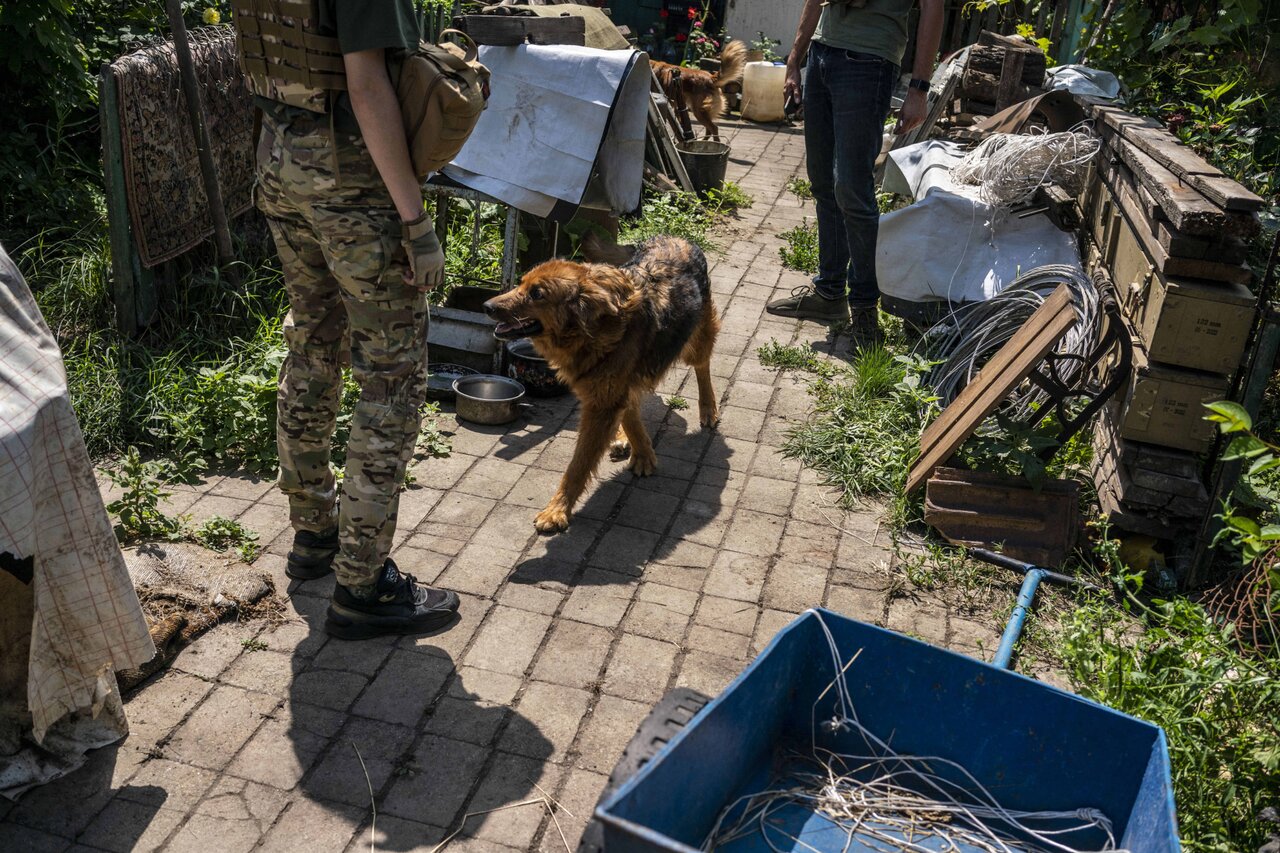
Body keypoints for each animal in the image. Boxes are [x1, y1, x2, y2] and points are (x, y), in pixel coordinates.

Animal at [481, 233, 721, 532]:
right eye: (522, 282)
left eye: (537, 294)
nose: (486, 306)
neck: (593, 328)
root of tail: (673, 237)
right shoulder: (609, 391)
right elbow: (630, 417)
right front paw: (643, 453)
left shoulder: (602, 403)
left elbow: (578, 465)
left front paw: (557, 510)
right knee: (633, 405)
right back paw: (625, 441)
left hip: (694, 340)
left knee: (702, 366)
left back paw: (708, 408)